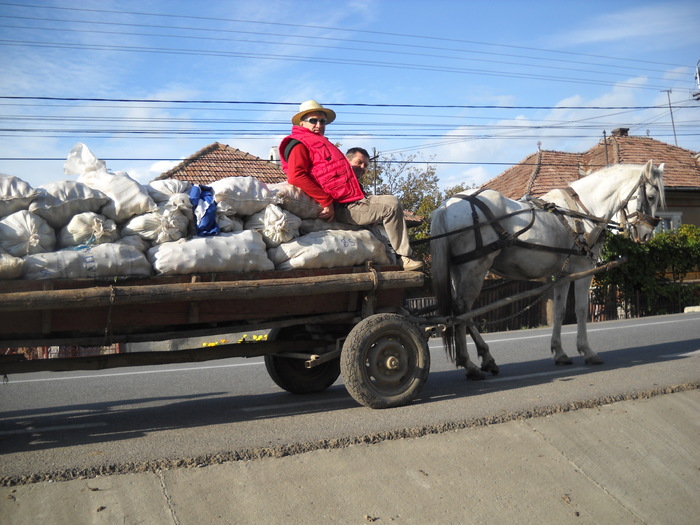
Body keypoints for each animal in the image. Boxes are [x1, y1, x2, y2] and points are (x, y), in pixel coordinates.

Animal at [430, 158, 664, 378]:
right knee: (462, 310)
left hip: (459, 271)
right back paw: (469, 364)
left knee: (463, 313)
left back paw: (485, 359)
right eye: (652, 197)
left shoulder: (562, 274)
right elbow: (581, 309)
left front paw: (559, 353)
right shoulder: (583, 270)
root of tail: (446, 206)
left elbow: (559, 311)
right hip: (476, 269)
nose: (646, 234)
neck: (581, 211)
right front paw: (587, 351)